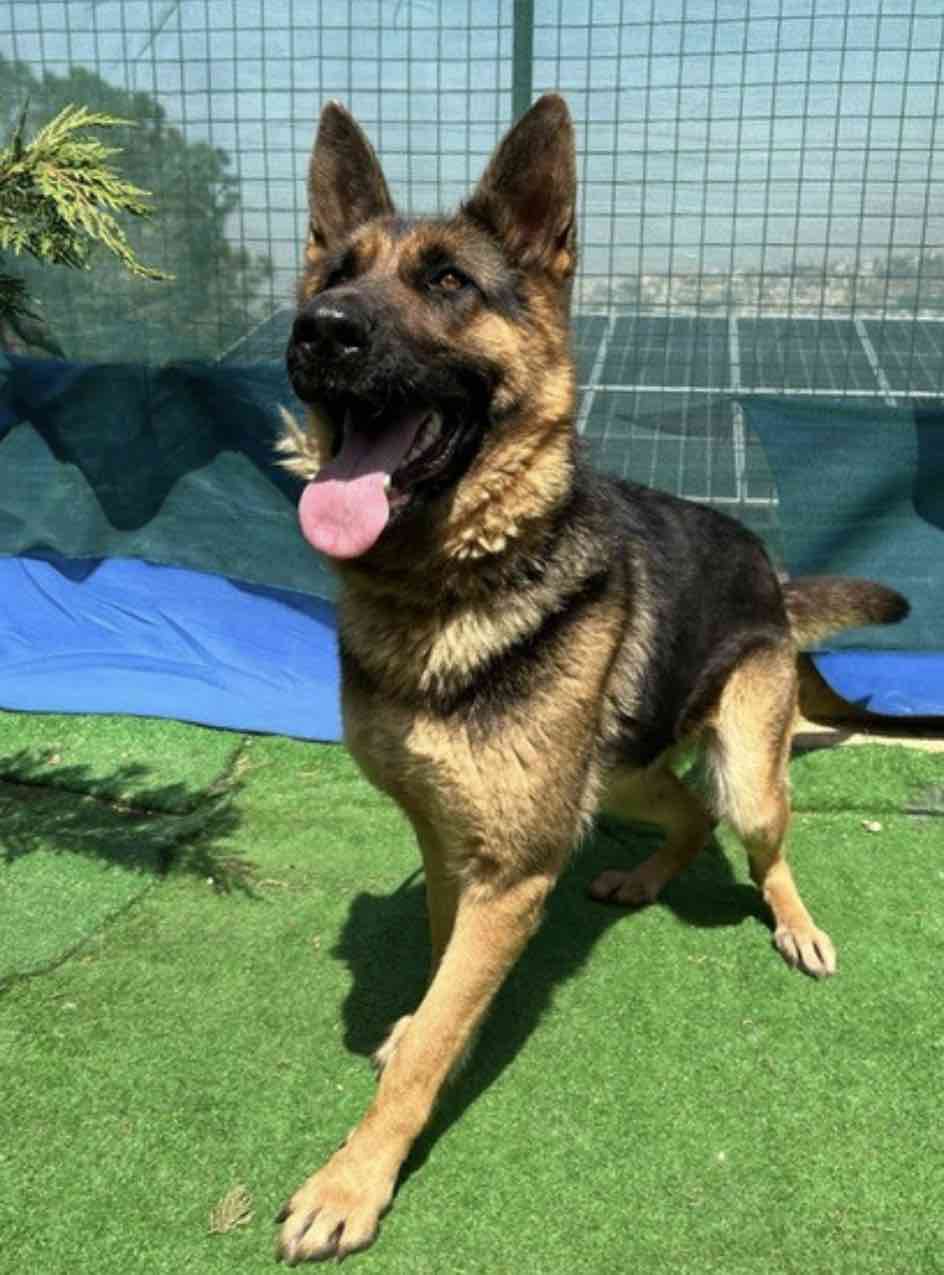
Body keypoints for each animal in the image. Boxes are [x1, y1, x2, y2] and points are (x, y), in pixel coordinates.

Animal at [275, 94, 908, 1262]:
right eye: (334, 273)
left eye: (447, 282)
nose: (321, 330)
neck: (448, 587)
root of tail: (768, 569)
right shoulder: (454, 843)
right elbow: (440, 982)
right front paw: (426, 1026)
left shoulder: (510, 869)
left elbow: (432, 1038)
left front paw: (353, 1180)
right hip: (616, 775)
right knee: (685, 815)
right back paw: (643, 877)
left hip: (745, 766)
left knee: (760, 837)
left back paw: (793, 921)